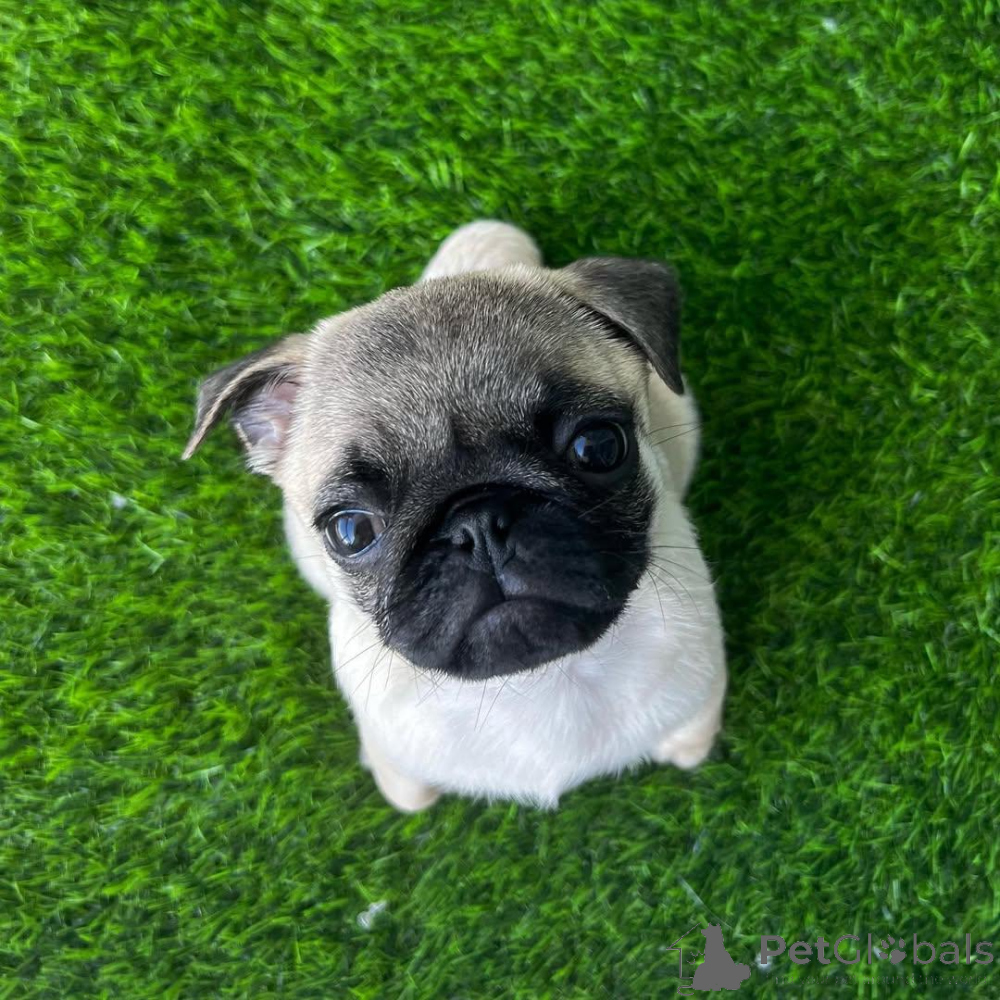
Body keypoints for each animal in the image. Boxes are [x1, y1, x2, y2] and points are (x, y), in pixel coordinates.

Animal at [184, 221, 726, 811]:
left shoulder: (697, 712)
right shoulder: (397, 769)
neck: (541, 679)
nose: (478, 524)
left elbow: (690, 746)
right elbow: (410, 795)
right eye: (350, 530)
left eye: (598, 447)